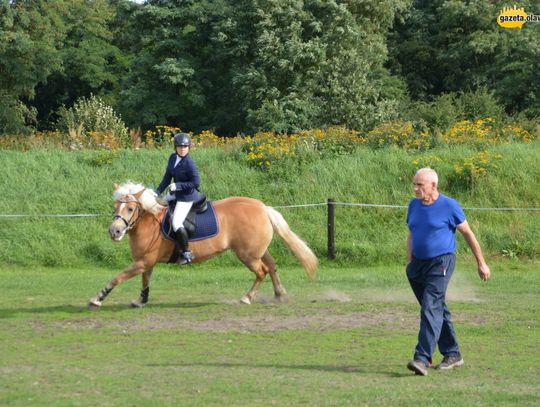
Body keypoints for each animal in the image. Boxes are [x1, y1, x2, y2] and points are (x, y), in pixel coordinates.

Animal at [88, 182, 316, 310]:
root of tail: (262, 207)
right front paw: (141, 301)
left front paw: (97, 299)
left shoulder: (142, 262)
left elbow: (118, 277)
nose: (115, 232)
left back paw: (246, 298)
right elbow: (145, 282)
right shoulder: (146, 262)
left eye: (130, 208)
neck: (149, 222)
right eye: (116, 207)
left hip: (248, 255)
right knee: (273, 266)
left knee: (262, 271)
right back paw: (279, 295)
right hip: (258, 250)